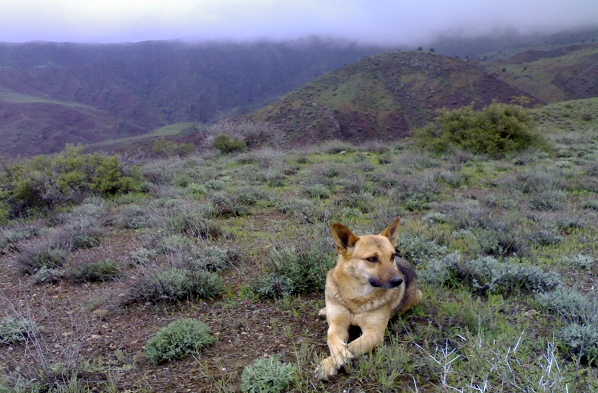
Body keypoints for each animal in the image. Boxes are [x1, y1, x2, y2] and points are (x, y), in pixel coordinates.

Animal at [316, 216, 424, 378]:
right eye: (372, 259)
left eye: (392, 256)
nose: (399, 281)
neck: (356, 297)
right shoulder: (337, 325)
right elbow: (331, 338)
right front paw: (337, 356)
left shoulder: (374, 333)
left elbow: (353, 346)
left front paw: (330, 363)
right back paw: (324, 310)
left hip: (417, 296)